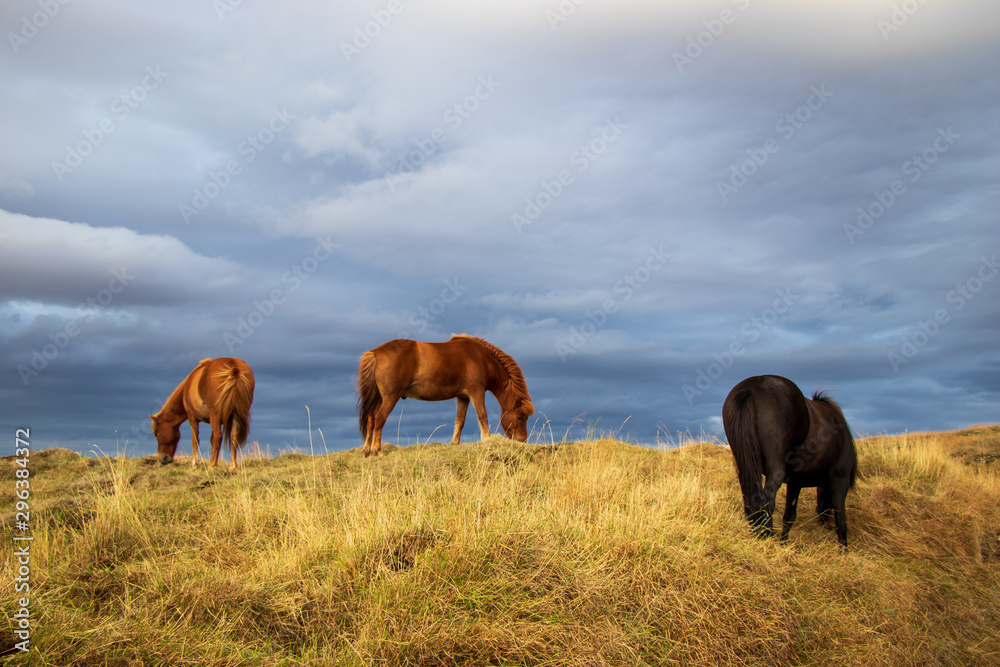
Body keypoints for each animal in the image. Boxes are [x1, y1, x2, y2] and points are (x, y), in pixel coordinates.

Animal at [356, 334, 535, 457]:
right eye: (519, 417)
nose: (522, 440)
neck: (481, 359)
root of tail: (376, 352)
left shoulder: (463, 397)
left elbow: (460, 421)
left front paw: (455, 443)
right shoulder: (476, 391)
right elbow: (482, 416)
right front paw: (487, 440)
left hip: (379, 398)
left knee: (371, 419)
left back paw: (367, 451)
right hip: (390, 397)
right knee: (379, 418)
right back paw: (377, 450)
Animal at [722, 375, 857, 547]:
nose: (821, 520)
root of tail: (749, 389)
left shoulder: (795, 482)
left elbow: (789, 516)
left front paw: (784, 544)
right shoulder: (840, 479)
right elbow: (841, 518)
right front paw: (843, 548)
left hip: (744, 463)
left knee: (750, 499)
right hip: (776, 467)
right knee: (766, 500)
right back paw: (766, 535)